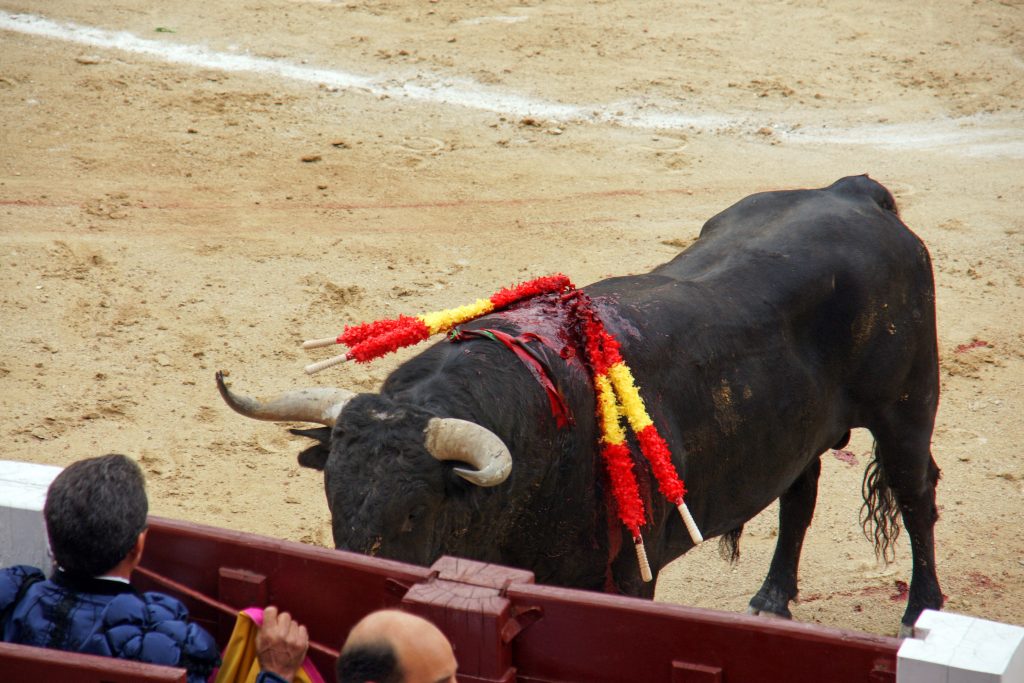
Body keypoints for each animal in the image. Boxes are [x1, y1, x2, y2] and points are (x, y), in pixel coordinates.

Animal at [218, 175, 942, 630]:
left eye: (417, 509)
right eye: (332, 494)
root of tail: (855, 193)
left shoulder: (627, 577)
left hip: (907, 408)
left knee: (916, 495)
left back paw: (921, 612)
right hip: (802, 425)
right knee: (800, 489)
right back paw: (771, 599)